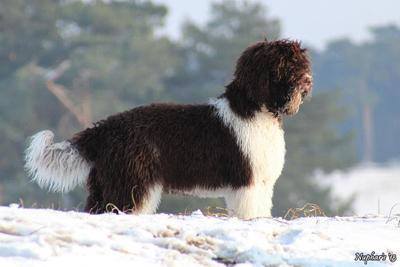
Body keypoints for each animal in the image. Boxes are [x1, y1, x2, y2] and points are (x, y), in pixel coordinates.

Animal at [24, 39, 312, 220]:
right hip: (130, 182)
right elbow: (249, 212)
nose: (308, 81)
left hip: (107, 181)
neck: (253, 109)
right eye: (286, 65)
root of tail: (105, 128)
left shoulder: (262, 184)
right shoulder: (247, 182)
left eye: (302, 63)